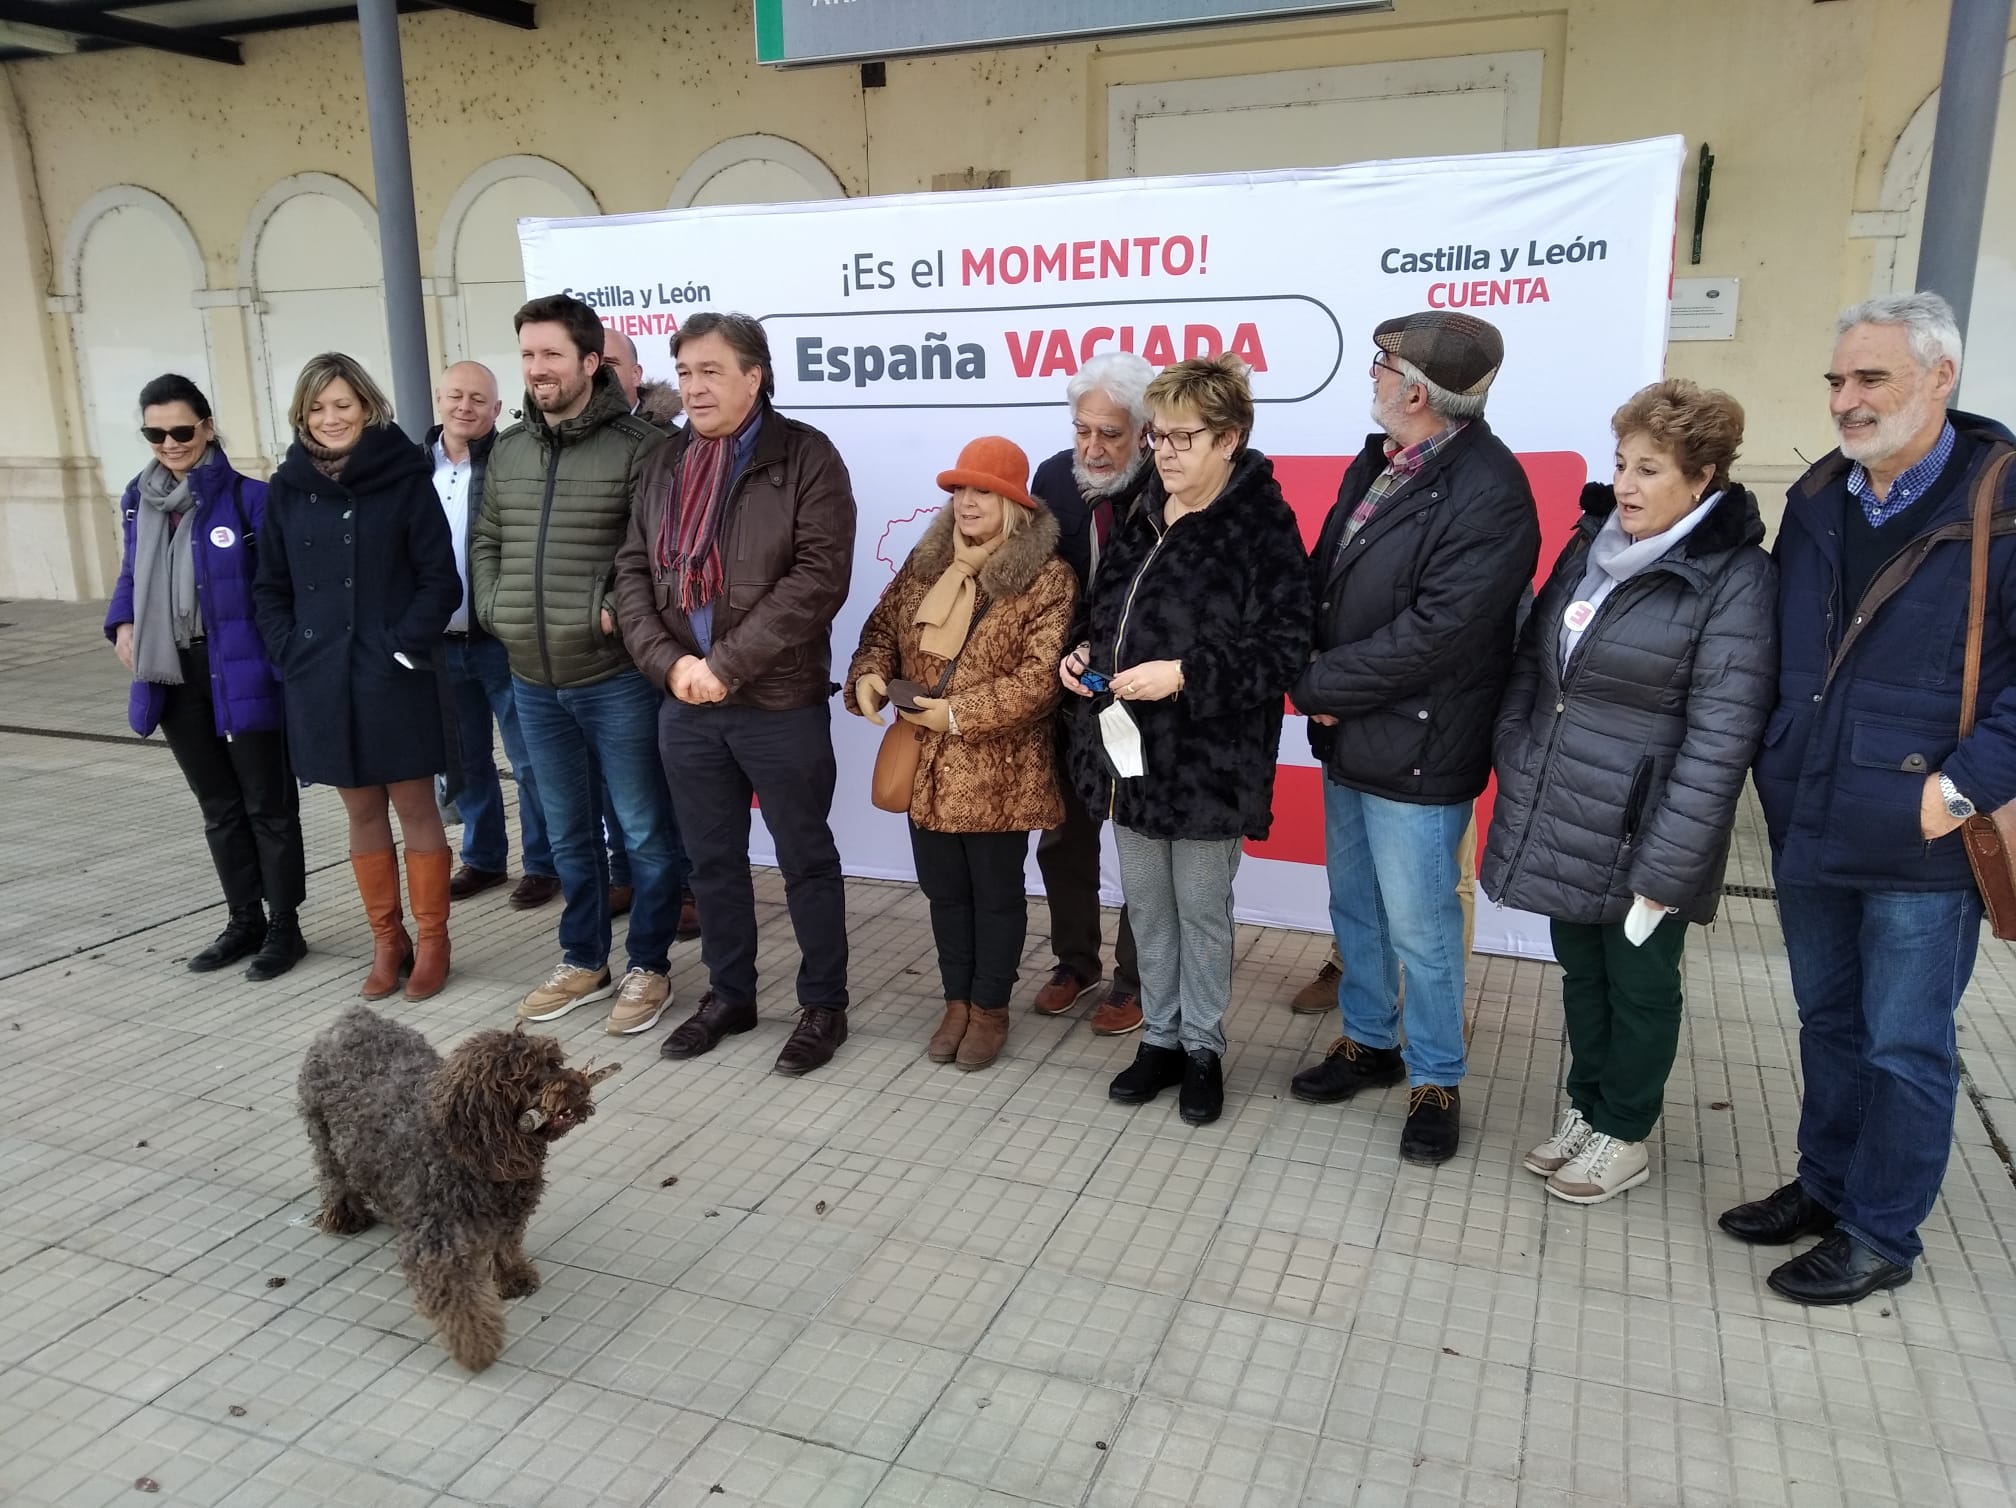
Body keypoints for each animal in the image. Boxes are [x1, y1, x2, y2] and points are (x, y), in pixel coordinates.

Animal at [296, 1008, 612, 1370]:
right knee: (333, 1177)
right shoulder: (438, 1244)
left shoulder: (508, 1216)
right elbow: (459, 1302)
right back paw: (346, 1215)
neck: (474, 1155)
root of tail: (352, 1017)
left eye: (555, 1062)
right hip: (323, 1133)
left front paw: (512, 1277)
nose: (580, 1087)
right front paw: (477, 1347)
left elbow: (506, 1246)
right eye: (529, 1077)